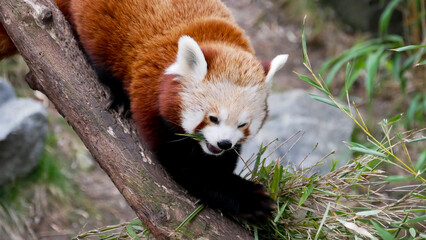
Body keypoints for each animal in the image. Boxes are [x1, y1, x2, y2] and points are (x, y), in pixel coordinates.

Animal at [0, 0, 288, 222]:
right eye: (213, 118)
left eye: (242, 125)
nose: (224, 143)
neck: (215, 37)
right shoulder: (150, 94)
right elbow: (187, 168)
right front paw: (250, 199)